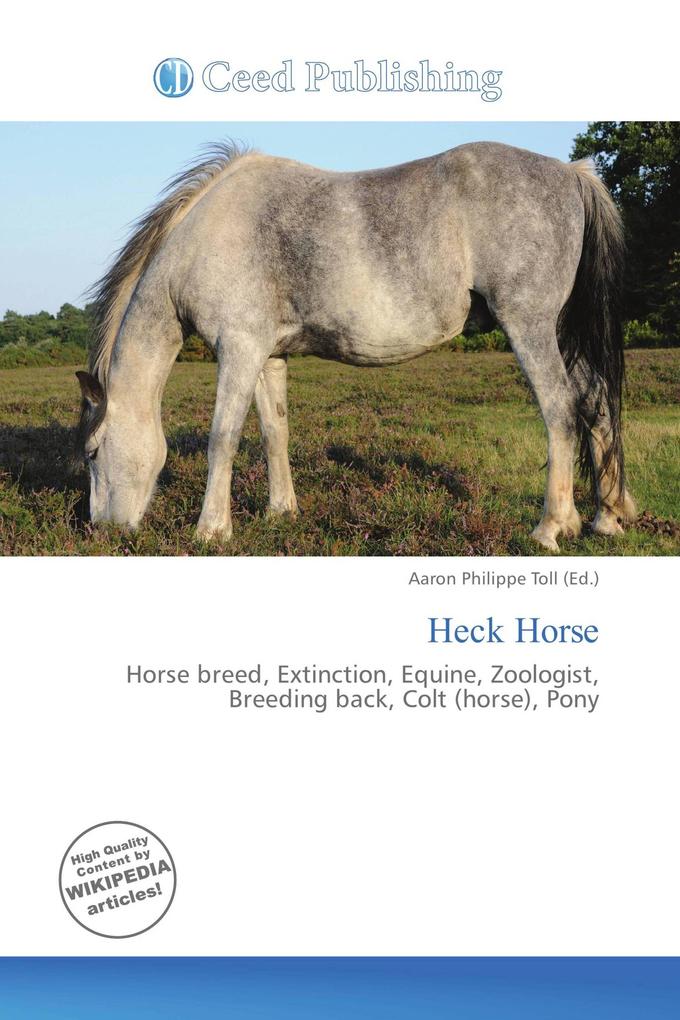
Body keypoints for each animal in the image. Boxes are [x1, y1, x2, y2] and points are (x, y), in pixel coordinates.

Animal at [76, 140, 636, 551]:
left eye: (92, 453)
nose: (101, 530)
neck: (208, 235)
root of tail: (572, 173)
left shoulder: (237, 349)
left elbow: (223, 438)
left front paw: (211, 530)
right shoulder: (267, 356)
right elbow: (273, 432)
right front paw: (281, 512)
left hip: (530, 327)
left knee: (560, 411)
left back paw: (550, 528)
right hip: (560, 331)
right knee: (596, 403)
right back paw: (606, 518)